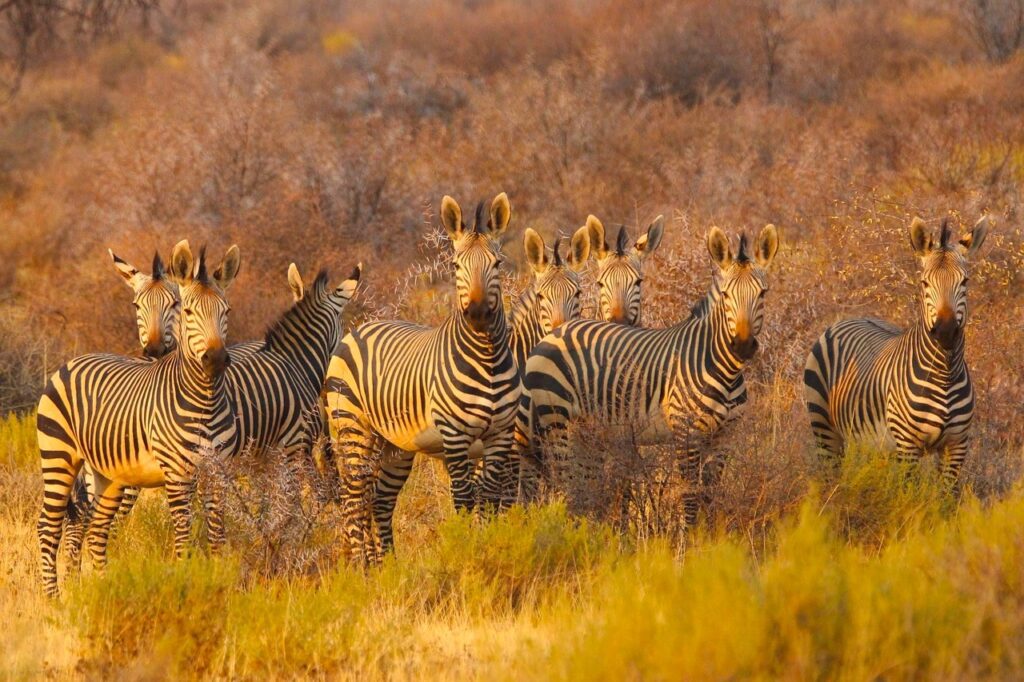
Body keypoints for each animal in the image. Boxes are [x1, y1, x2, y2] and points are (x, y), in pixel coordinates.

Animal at [36, 242, 240, 596]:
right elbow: (184, 538)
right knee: (49, 526)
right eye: (189, 312)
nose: (215, 359)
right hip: (58, 457)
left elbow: (216, 537)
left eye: (225, 311)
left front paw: (219, 586)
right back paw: (54, 599)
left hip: (108, 475)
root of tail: (72, 360)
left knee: (95, 530)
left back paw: (103, 588)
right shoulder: (177, 475)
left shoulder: (218, 472)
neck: (206, 400)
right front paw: (186, 587)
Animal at [324, 193, 519, 563]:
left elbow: (488, 499)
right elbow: (464, 499)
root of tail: (361, 328)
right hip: (352, 429)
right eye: (456, 266)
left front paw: (488, 547)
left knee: (379, 501)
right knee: (354, 502)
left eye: (498, 264)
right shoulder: (455, 436)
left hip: (394, 445)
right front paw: (466, 552)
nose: (476, 314)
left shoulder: (501, 435)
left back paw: (386, 566)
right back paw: (360, 569)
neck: (486, 358)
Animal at [515, 224, 779, 526]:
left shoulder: (724, 438)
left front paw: (710, 535)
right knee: (565, 481)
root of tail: (554, 332)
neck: (723, 368)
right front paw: (689, 538)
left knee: (583, 482)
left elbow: (711, 496)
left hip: (585, 429)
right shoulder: (686, 432)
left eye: (763, 293)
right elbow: (690, 497)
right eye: (725, 295)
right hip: (557, 421)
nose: (743, 345)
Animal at [803, 216, 988, 488]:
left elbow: (943, 498)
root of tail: (853, 317)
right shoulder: (908, 446)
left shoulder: (956, 446)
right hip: (824, 427)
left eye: (965, 282)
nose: (945, 333)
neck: (944, 373)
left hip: (872, 441)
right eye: (924, 283)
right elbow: (907, 494)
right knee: (830, 475)